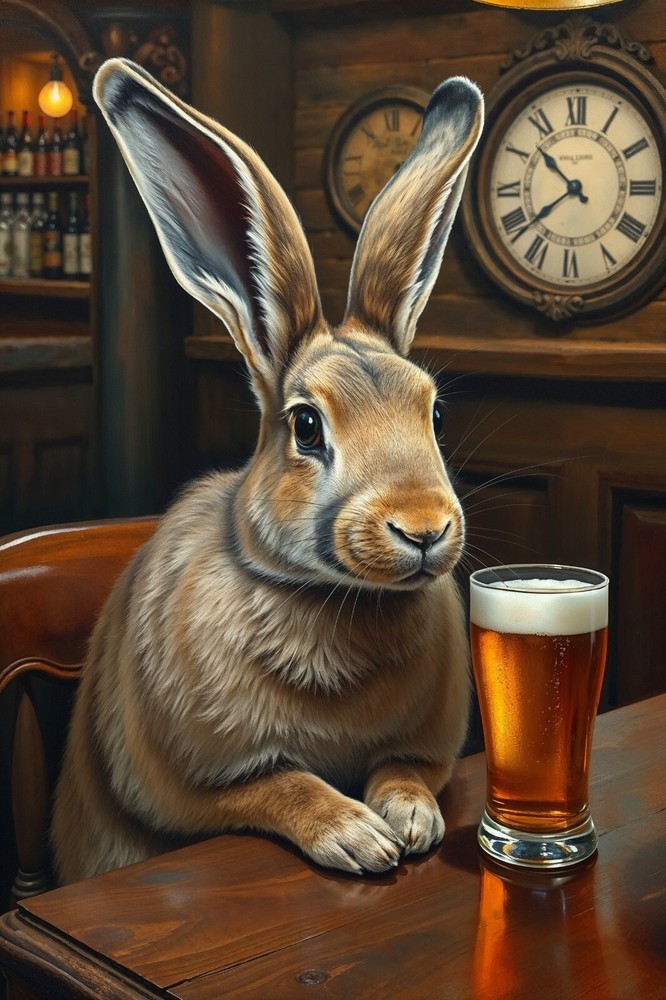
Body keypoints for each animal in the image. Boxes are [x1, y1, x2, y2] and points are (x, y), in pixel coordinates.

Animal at [51, 57, 484, 885]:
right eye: (306, 426)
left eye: (437, 415)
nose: (423, 529)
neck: (329, 599)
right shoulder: (183, 784)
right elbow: (278, 784)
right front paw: (358, 836)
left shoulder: (425, 749)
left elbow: (405, 769)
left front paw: (413, 819)